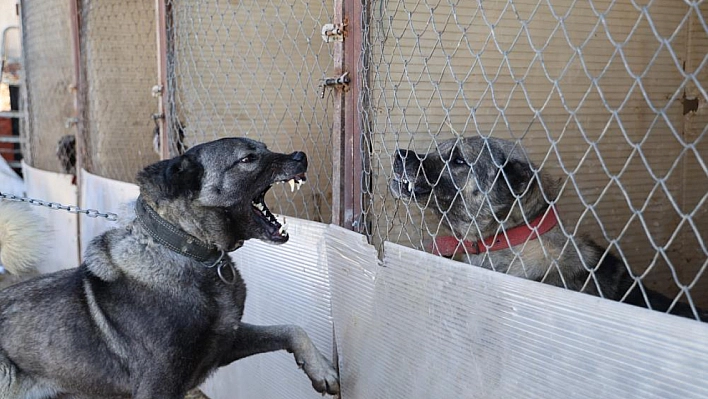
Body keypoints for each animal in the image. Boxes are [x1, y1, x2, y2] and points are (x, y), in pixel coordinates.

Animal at [0, 137, 340, 396]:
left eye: (265, 147)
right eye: (248, 159)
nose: (301, 156)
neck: (186, 249)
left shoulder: (227, 342)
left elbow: (291, 329)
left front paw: (322, 369)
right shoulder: (159, 386)